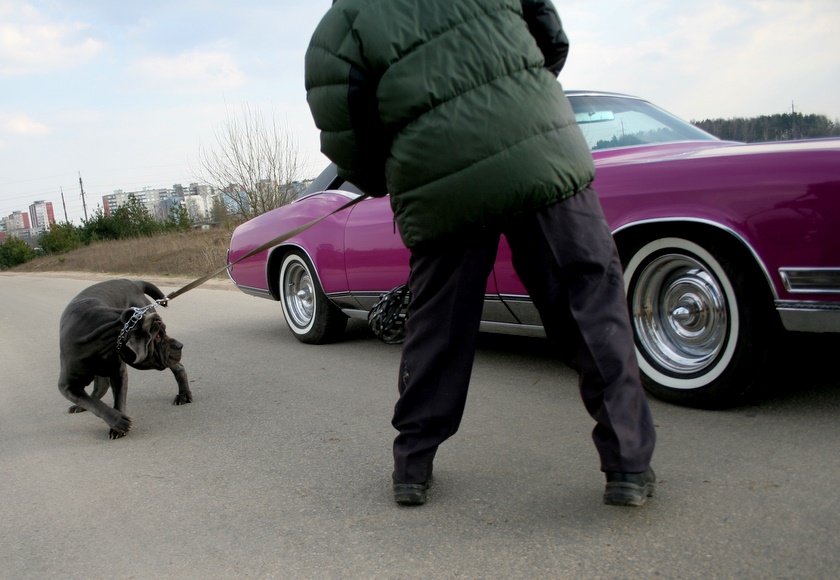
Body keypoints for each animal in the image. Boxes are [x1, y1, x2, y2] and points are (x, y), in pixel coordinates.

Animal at [58, 279, 192, 439]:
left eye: (163, 332)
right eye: (158, 336)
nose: (180, 345)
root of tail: (134, 282)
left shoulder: (118, 373)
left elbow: (119, 399)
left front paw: (117, 426)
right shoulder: (67, 386)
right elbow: (90, 403)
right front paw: (117, 421)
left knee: (179, 368)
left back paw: (183, 395)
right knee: (98, 389)